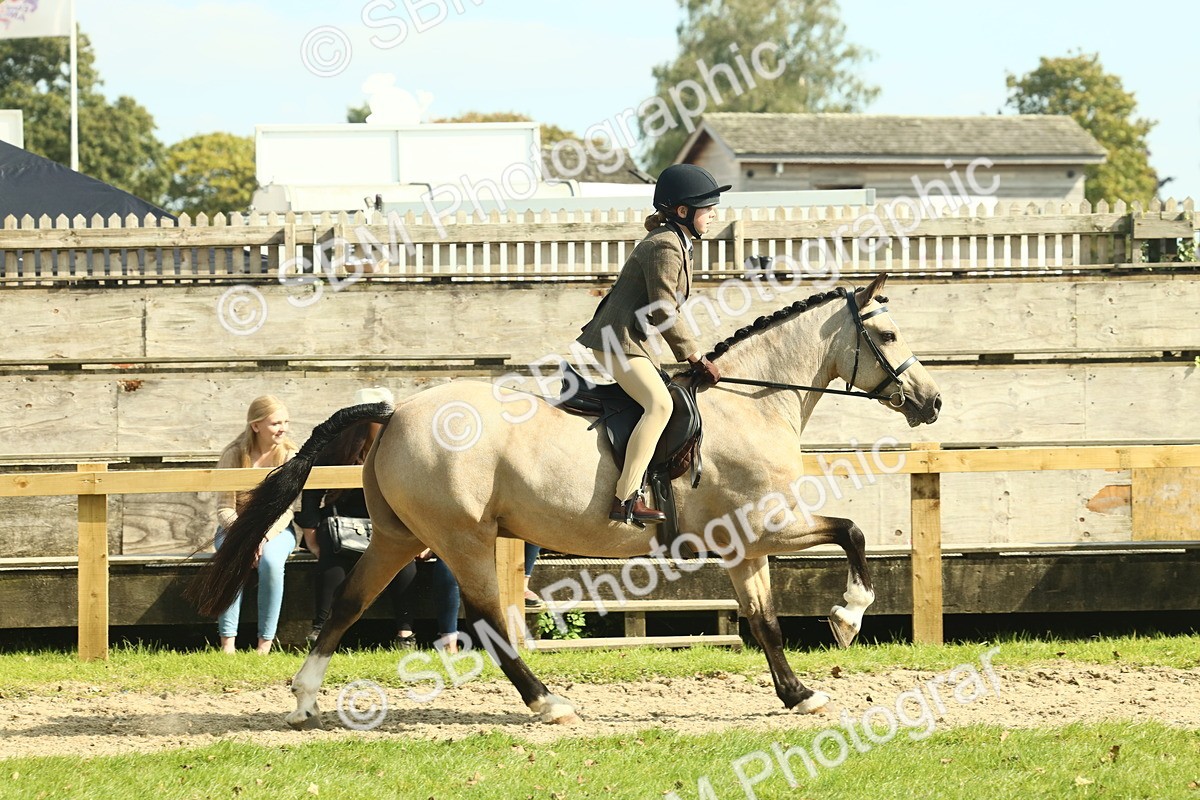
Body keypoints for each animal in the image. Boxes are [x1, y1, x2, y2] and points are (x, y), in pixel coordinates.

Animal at [188, 272, 941, 728]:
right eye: (889, 335)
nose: (931, 402)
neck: (753, 402)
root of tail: (396, 410)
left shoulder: (746, 545)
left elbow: (765, 624)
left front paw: (799, 693)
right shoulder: (766, 525)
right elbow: (851, 533)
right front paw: (847, 618)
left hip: (400, 536)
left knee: (348, 603)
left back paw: (304, 700)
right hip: (462, 538)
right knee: (487, 617)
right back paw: (548, 703)